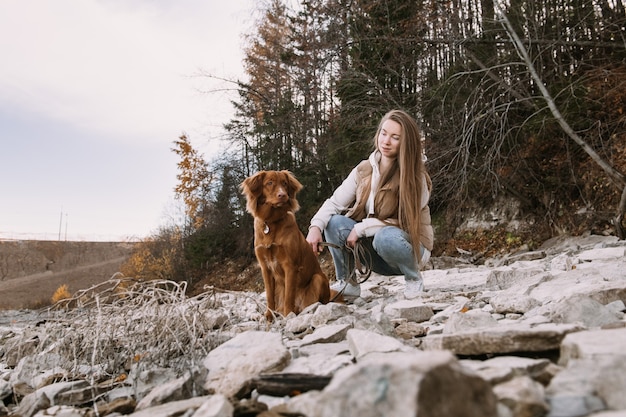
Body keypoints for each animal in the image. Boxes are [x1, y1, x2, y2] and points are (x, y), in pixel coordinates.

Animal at [240, 171, 336, 320]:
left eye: (284, 183)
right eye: (269, 183)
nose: (283, 195)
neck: (271, 222)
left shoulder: (290, 265)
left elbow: (289, 295)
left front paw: (287, 315)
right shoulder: (265, 268)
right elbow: (269, 296)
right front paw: (269, 316)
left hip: (318, 278)